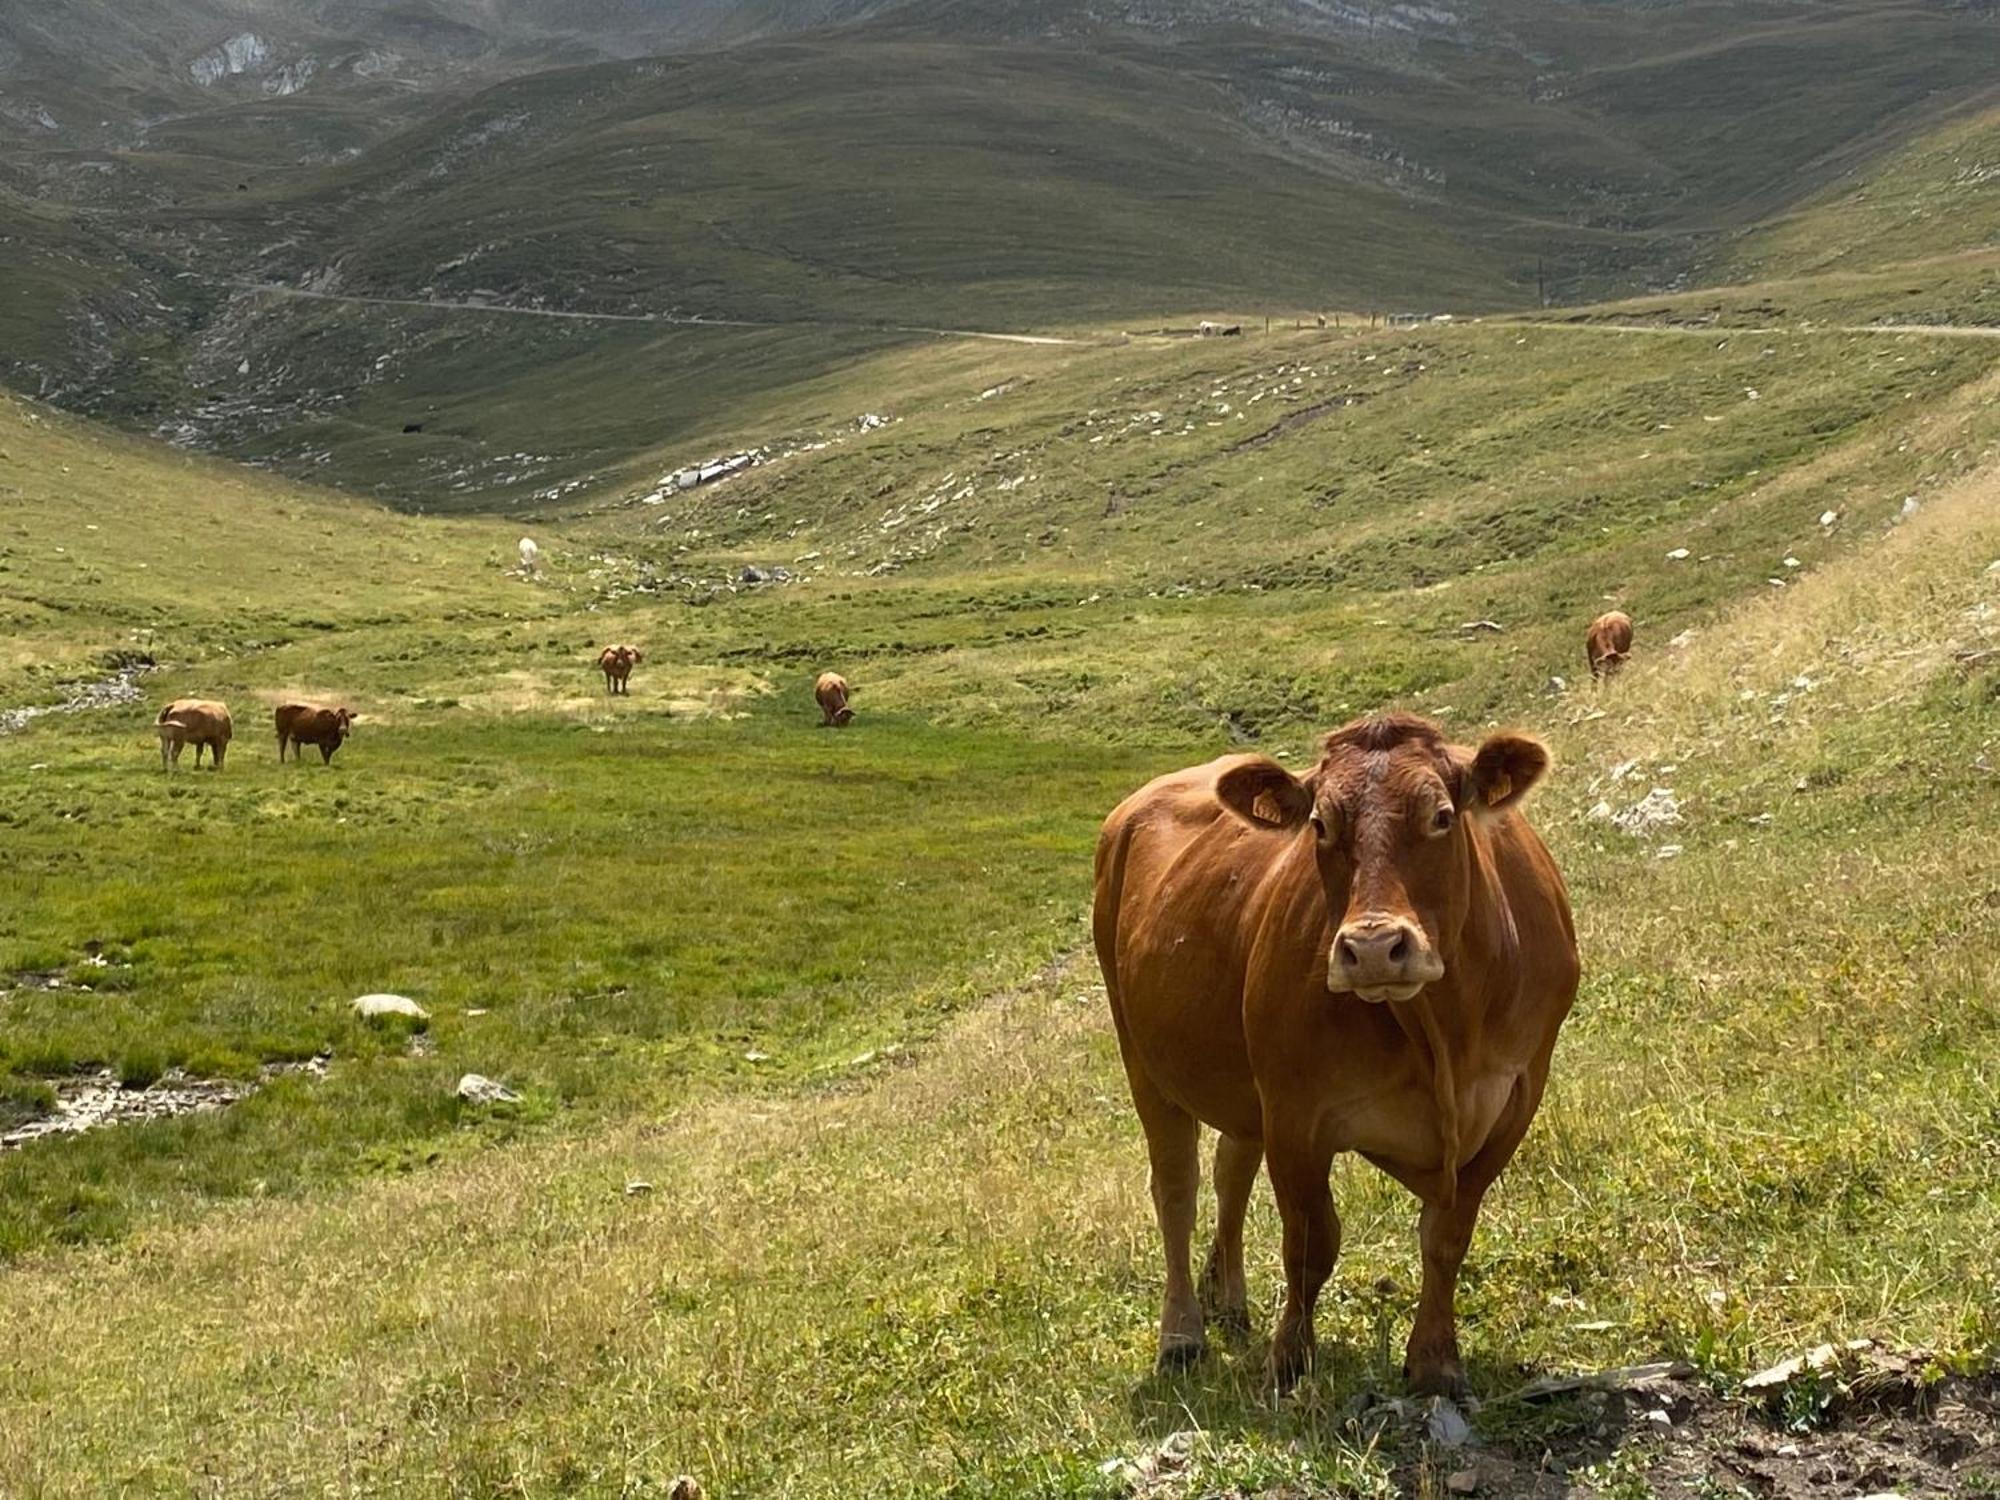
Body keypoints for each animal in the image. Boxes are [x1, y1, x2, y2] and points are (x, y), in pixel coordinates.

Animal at [1096, 712, 1576, 1400]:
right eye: (1320, 825)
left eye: (1441, 816)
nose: (1373, 948)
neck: (1443, 1031)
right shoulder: (1295, 1112)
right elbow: (1310, 1243)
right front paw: (1289, 1361)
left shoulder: (1515, 1098)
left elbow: (1447, 1237)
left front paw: (1435, 1360)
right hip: (1142, 1055)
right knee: (1177, 1189)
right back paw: (1183, 1334)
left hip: (1241, 1081)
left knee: (1230, 1167)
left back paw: (1228, 1298)